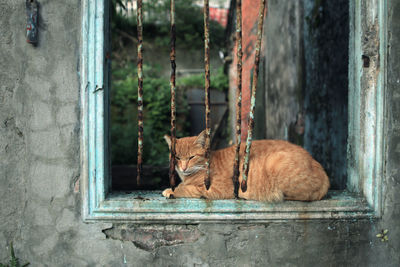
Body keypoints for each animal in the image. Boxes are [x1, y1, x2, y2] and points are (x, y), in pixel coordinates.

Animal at [162, 131, 328, 202]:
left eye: (191, 157)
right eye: (177, 158)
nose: (183, 168)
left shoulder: (220, 189)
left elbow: (188, 189)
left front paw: (172, 190)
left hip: (275, 163)